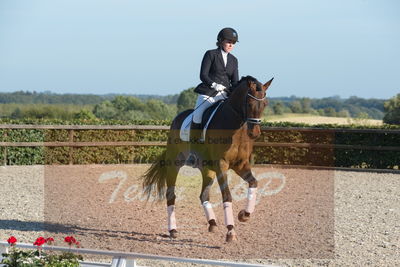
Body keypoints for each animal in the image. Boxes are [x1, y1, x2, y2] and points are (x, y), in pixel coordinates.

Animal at [142, 75, 274, 243]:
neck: (235, 128)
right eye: (249, 103)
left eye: (265, 104)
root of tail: (177, 119)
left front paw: (244, 215)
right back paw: (173, 230)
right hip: (174, 165)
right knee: (171, 195)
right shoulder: (221, 165)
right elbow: (227, 196)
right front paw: (230, 231)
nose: (254, 133)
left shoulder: (240, 165)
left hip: (207, 169)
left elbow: (254, 183)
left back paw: (212, 223)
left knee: (203, 195)